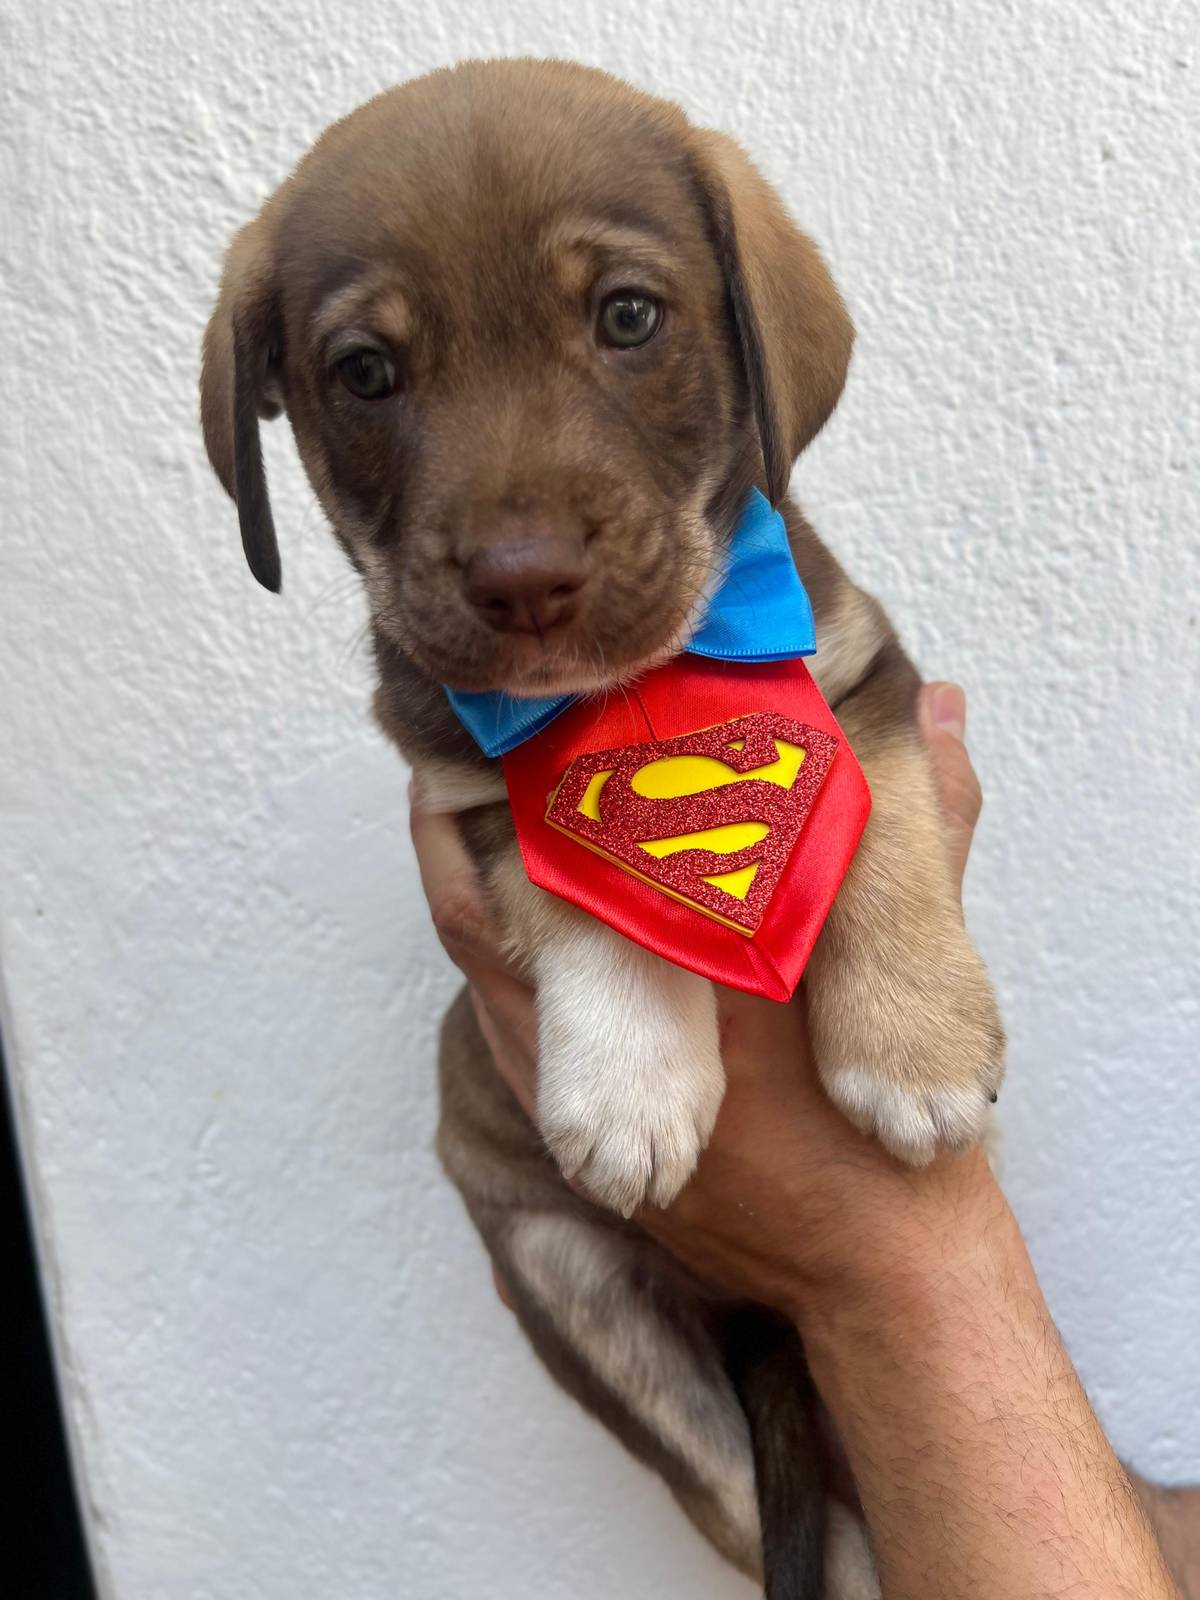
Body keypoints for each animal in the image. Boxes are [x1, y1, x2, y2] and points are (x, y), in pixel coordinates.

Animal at [201, 58, 1004, 1598]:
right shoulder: (462, 789)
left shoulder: (864, 672)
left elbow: (879, 818)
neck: (640, 694)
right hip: (588, 1304)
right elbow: (577, 880)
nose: (526, 582)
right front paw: (632, 1083)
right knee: (765, 1516)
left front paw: (913, 1049)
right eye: (366, 373)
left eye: (628, 317)